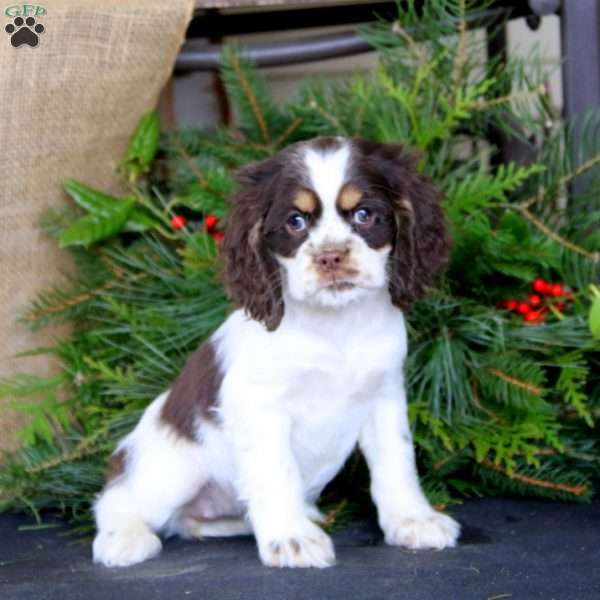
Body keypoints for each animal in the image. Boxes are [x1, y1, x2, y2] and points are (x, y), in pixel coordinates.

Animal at [92, 138, 460, 568]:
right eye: (295, 222)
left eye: (364, 215)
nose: (330, 256)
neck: (335, 327)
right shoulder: (259, 407)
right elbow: (277, 471)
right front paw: (291, 538)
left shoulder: (384, 395)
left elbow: (397, 460)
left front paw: (413, 520)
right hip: (168, 468)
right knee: (117, 497)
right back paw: (123, 537)